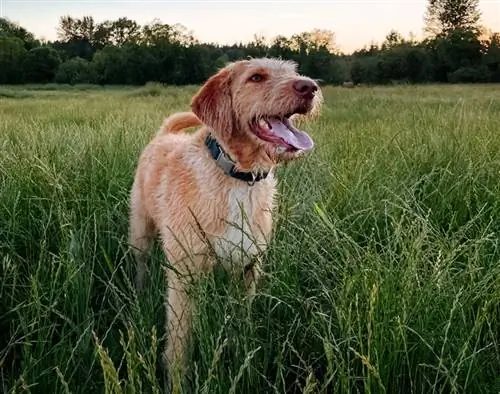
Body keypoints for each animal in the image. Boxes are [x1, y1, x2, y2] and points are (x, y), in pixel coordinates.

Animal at [128, 57, 324, 386]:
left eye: (293, 72)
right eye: (256, 77)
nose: (309, 87)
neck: (239, 177)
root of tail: (163, 135)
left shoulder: (249, 267)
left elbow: (242, 318)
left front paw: (242, 348)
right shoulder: (185, 276)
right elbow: (180, 339)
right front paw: (177, 380)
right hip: (140, 231)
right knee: (140, 265)